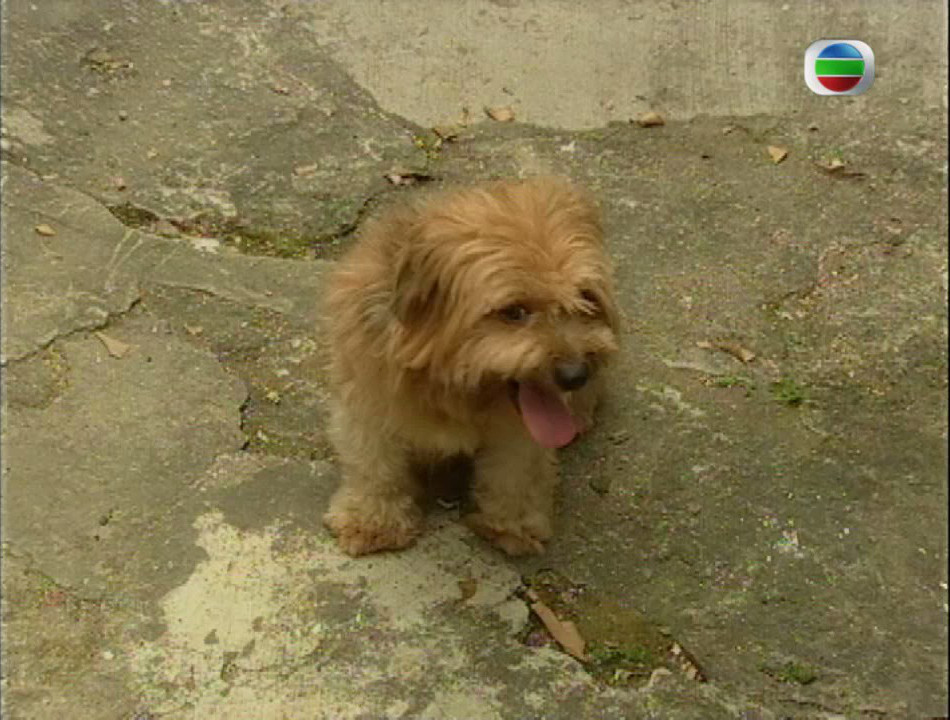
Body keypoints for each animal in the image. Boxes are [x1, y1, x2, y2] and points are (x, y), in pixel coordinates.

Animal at [322, 176, 620, 556]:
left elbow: (515, 472)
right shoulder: (367, 403)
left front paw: (512, 523)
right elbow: (376, 467)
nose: (575, 375)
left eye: (586, 299)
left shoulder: (518, 433)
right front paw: (374, 522)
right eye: (514, 312)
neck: (450, 387)